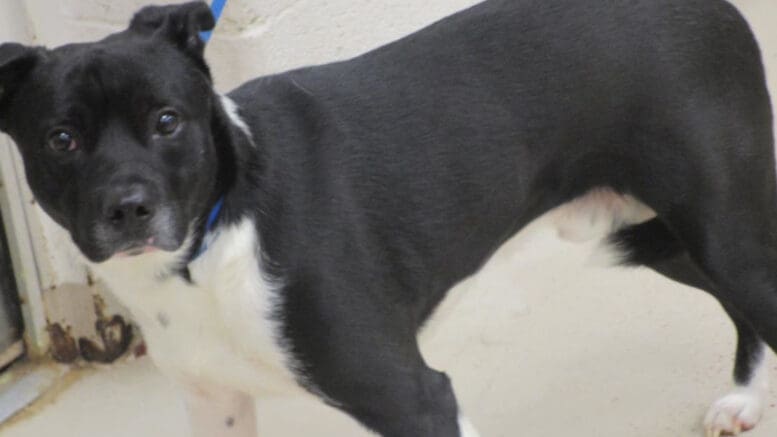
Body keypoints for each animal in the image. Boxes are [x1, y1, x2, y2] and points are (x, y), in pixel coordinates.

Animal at [0, 0, 768, 434]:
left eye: (167, 121)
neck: (210, 244)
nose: (130, 209)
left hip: (725, 235)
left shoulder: (415, 398)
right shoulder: (215, 403)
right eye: (61, 139)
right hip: (659, 236)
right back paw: (745, 396)